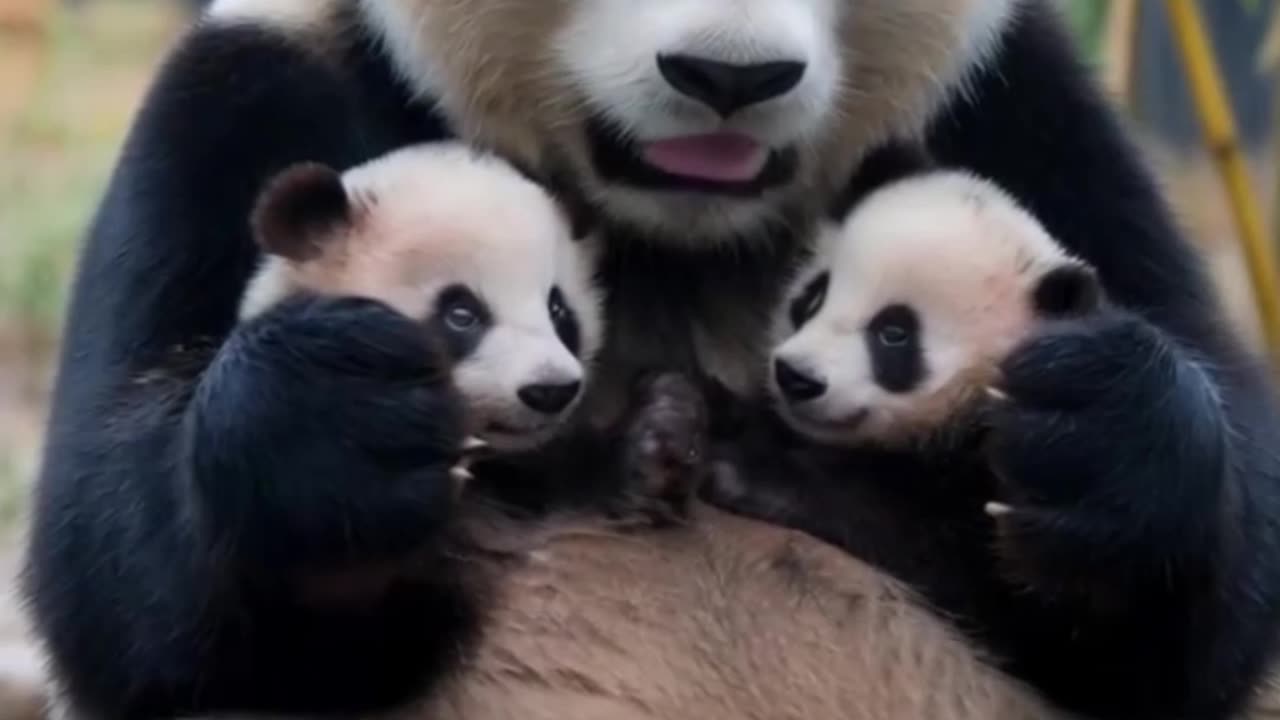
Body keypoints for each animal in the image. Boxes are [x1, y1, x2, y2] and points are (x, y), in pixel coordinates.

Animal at [17, 0, 1280, 712]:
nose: (728, 78)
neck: (673, 226)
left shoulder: (1022, 105)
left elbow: (1199, 629)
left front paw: (1099, 436)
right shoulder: (246, 89)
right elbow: (129, 604)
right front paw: (329, 432)